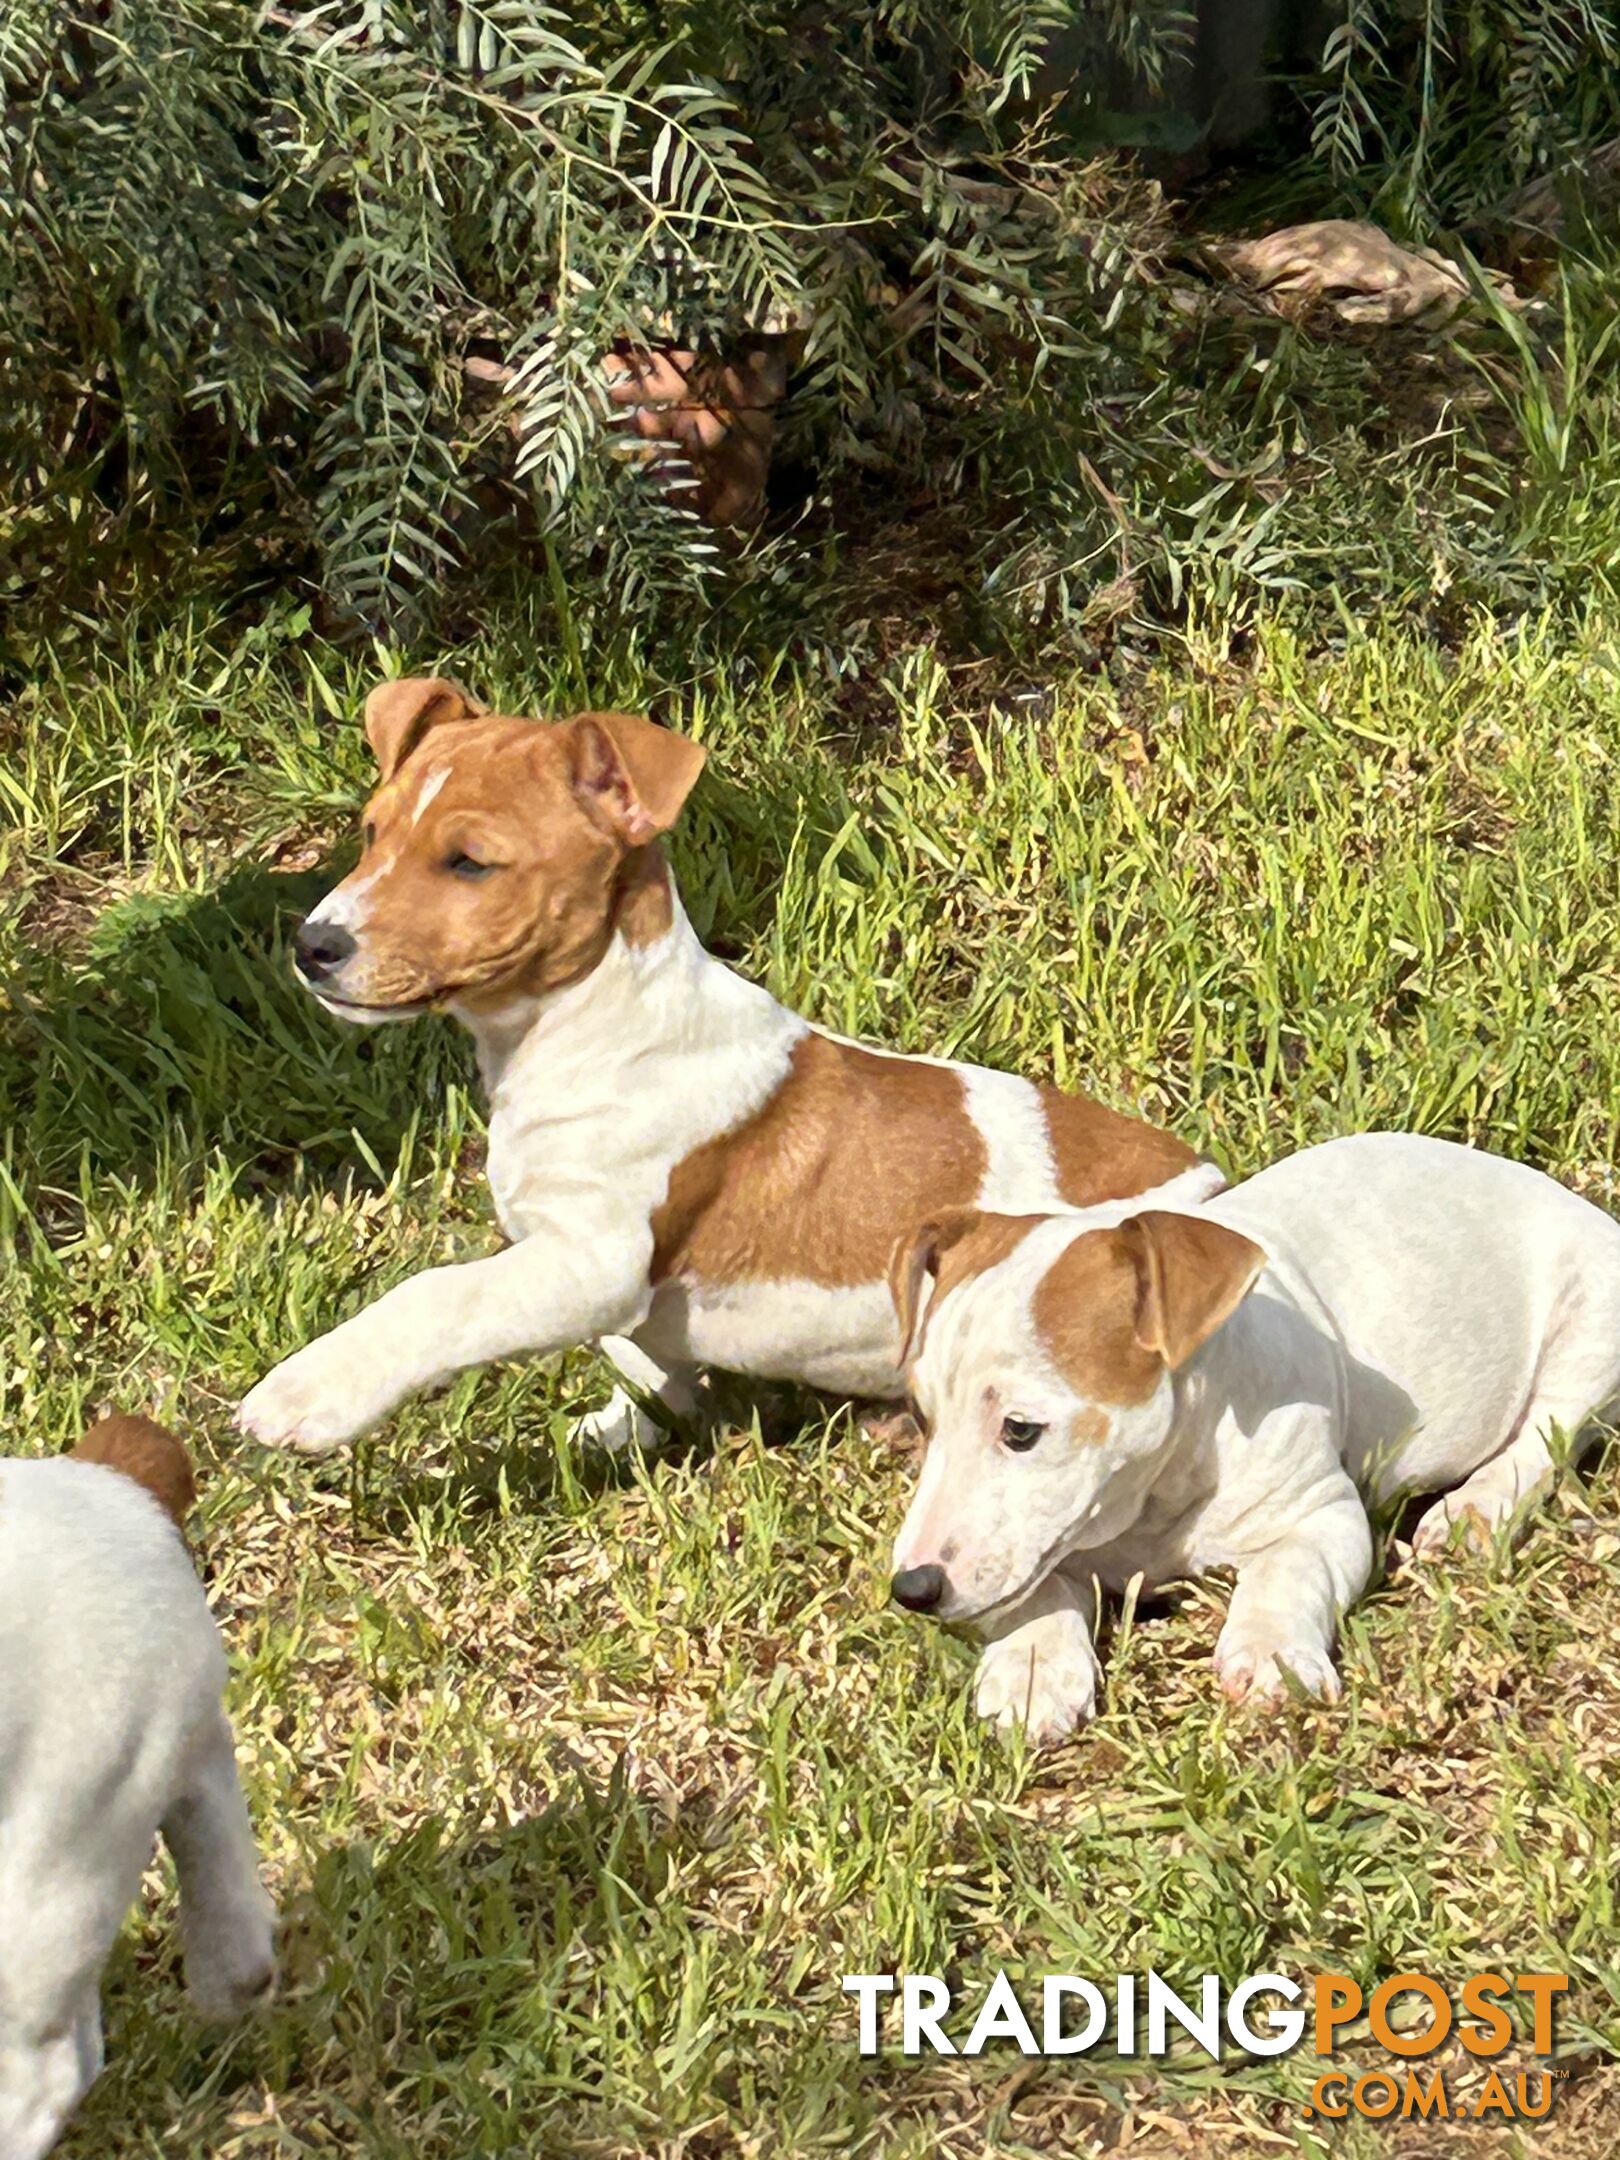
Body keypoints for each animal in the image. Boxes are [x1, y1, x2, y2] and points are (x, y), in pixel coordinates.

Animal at [240, 673, 1226, 1451]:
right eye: (372, 834)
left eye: (470, 863)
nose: (313, 945)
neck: (592, 1024)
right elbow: (645, 1364)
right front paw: (627, 1428)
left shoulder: (591, 1258)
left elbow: (441, 1298)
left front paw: (309, 1391)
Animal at [889, 1131, 1620, 1736]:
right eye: (923, 1418)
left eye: (1021, 1430)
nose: (911, 1589)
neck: (1156, 1497)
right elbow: (1031, 1589)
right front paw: (1033, 1669)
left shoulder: (1320, 1513)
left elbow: (1286, 1573)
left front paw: (1270, 1654)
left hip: (1593, 1329)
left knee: (1547, 1435)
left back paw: (1477, 1508)